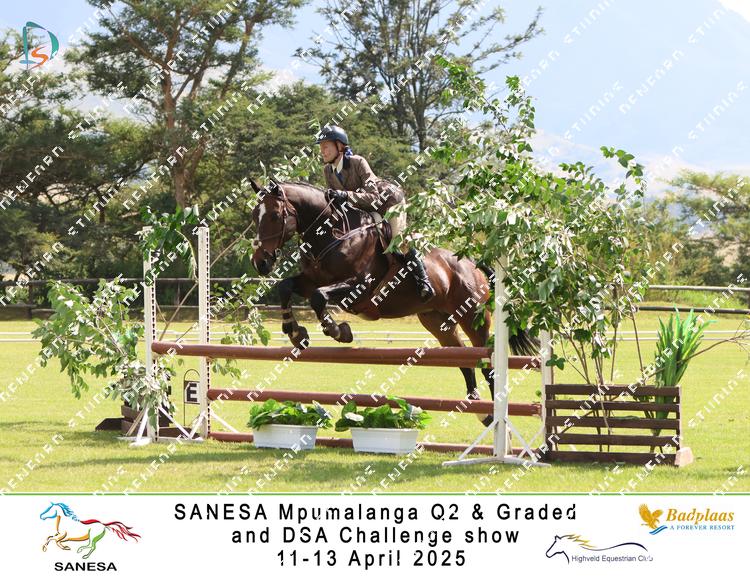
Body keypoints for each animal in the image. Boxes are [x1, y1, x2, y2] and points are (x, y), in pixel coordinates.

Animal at [248, 180, 537, 423]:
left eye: (274, 216)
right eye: (254, 215)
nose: (259, 262)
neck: (331, 235)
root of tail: (471, 262)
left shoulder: (360, 287)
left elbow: (320, 297)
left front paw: (339, 331)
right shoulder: (309, 281)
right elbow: (286, 286)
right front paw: (295, 332)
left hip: (473, 317)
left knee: (486, 362)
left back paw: (494, 413)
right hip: (438, 322)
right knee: (464, 360)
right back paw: (480, 412)